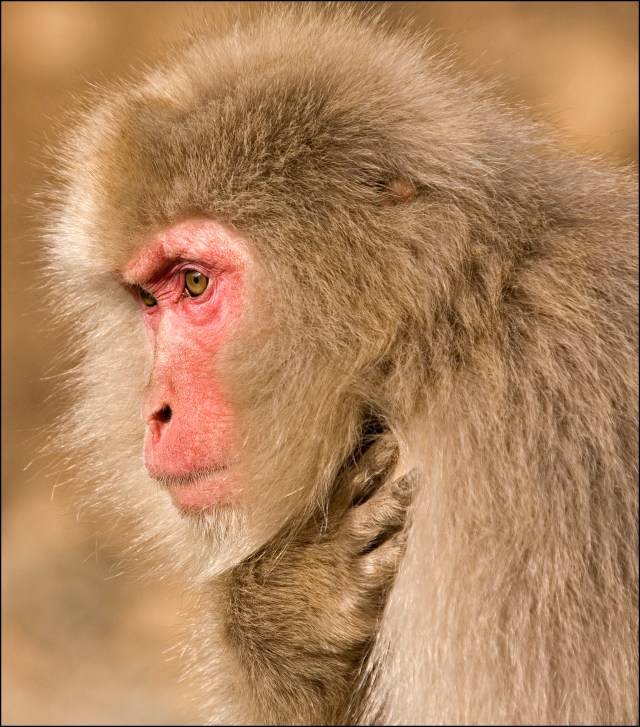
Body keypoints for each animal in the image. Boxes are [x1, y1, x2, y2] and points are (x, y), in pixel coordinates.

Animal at [43, 4, 638, 725]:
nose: (155, 412)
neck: (451, 326)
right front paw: (292, 613)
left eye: (194, 283)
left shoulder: (526, 480)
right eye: (147, 299)